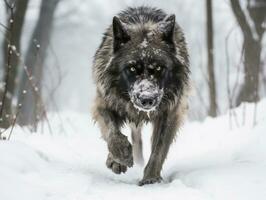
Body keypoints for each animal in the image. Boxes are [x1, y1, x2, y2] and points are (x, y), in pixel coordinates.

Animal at [92, 6, 190, 186]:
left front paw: (150, 178)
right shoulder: (103, 103)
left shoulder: (171, 113)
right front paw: (120, 156)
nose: (147, 99)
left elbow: (159, 149)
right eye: (132, 68)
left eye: (158, 68)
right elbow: (112, 132)